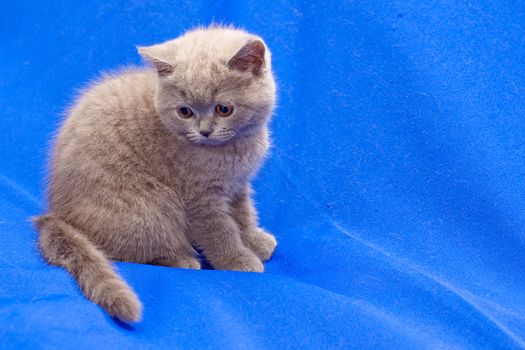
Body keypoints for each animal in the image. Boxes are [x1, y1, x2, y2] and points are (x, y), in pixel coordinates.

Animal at [33, 26, 278, 324]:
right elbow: (220, 231)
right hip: (155, 206)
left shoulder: (238, 184)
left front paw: (255, 241)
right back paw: (180, 259)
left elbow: (243, 215)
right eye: (185, 111)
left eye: (224, 108)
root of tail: (59, 216)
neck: (233, 150)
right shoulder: (199, 198)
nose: (205, 131)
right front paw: (239, 260)